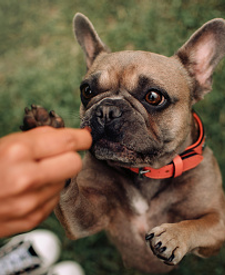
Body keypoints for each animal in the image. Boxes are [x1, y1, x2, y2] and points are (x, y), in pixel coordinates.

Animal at [21, 14, 225, 274]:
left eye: (153, 97)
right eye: (87, 91)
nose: (107, 110)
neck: (145, 173)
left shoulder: (218, 224)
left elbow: (200, 224)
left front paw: (173, 235)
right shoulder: (85, 218)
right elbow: (72, 197)